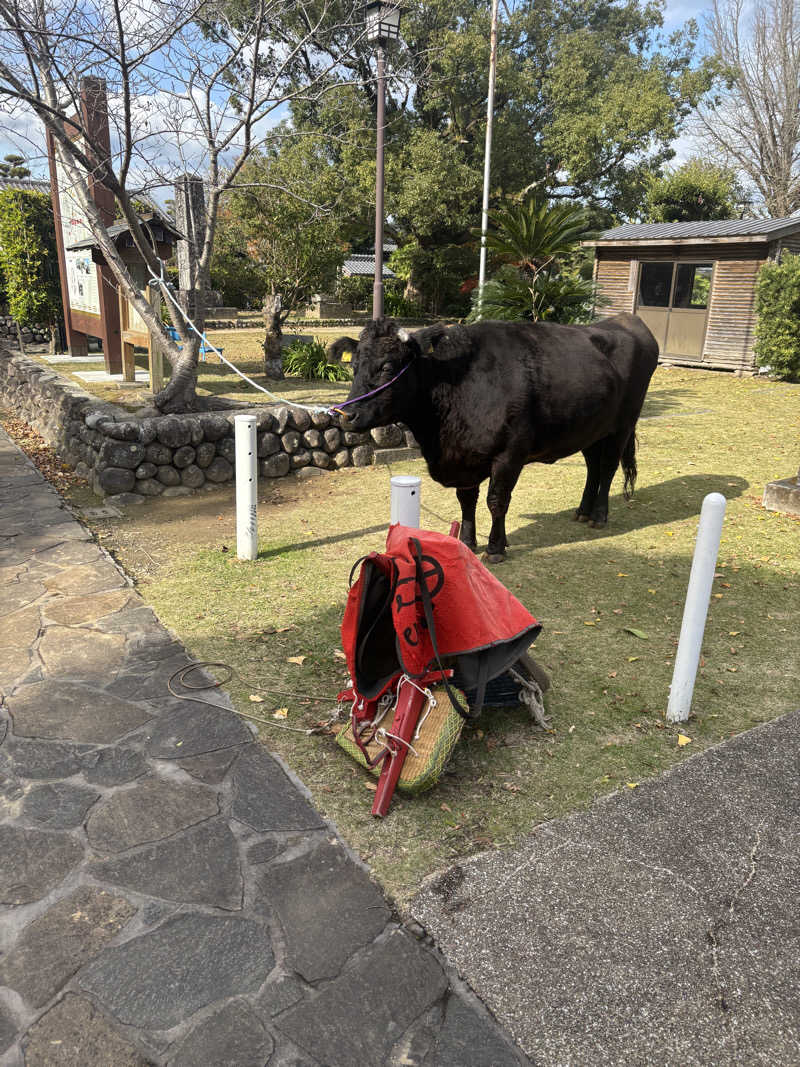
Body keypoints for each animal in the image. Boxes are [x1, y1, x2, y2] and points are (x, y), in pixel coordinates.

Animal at [328, 313, 661, 563]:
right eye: (353, 366)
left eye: (387, 366)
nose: (346, 414)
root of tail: (627, 319)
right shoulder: (464, 456)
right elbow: (466, 501)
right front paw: (466, 541)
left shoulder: (509, 454)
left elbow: (496, 501)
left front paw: (495, 547)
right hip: (590, 428)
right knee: (593, 467)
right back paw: (582, 511)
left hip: (623, 424)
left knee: (607, 467)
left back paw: (599, 516)